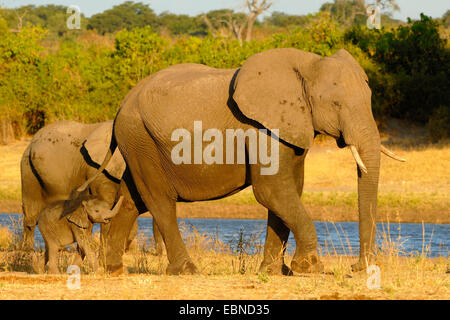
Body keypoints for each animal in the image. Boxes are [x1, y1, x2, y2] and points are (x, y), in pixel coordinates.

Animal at [20, 119, 163, 254]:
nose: (158, 253)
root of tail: (32, 141)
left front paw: (123, 250)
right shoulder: (98, 169)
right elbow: (108, 205)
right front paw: (106, 250)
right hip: (28, 168)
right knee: (31, 210)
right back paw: (28, 250)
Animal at [77, 47, 404, 276]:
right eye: (336, 104)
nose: (356, 268)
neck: (308, 65)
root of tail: (121, 107)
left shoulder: (289, 126)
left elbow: (289, 190)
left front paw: (275, 272)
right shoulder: (260, 125)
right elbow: (272, 190)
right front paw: (309, 268)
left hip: (139, 142)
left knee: (133, 200)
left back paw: (112, 269)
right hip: (140, 137)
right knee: (159, 200)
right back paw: (187, 271)